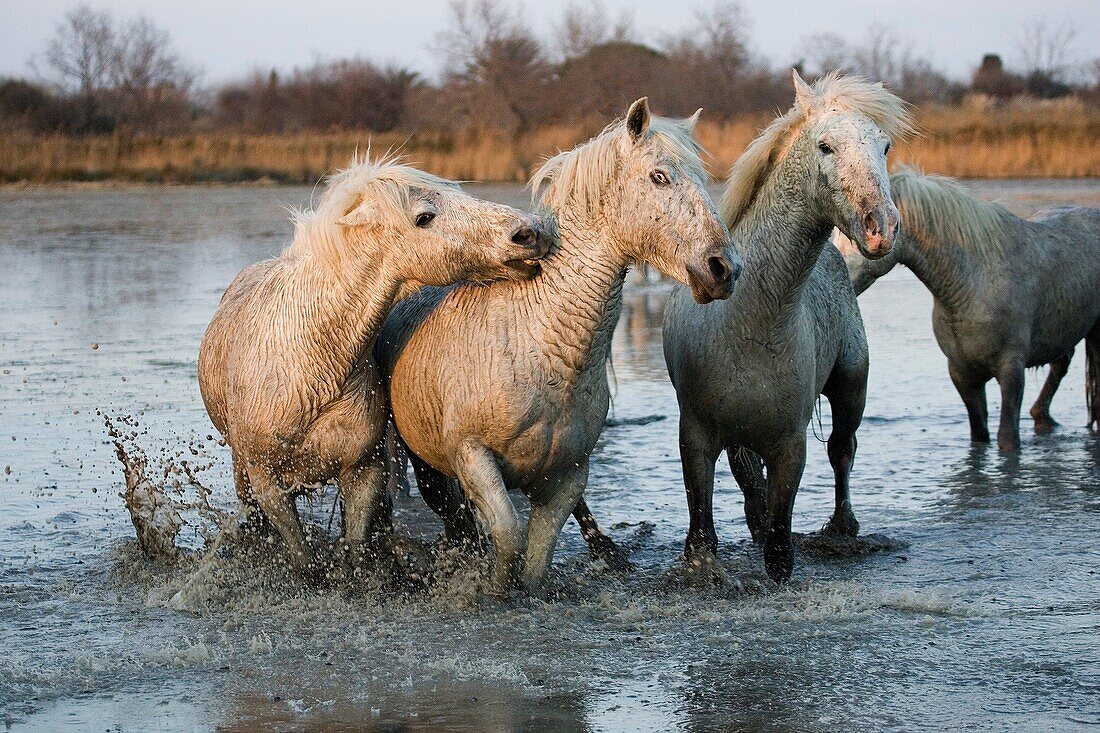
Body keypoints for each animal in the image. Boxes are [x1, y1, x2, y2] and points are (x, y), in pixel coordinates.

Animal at [195, 157, 547, 572]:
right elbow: (303, 561)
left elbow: (358, 547)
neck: (312, 364)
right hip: (244, 474)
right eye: (424, 217)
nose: (528, 233)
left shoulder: (365, 473)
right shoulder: (268, 484)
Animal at [660, 71, 910, 581]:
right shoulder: (697, 436)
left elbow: (779, 549)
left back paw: (843, 525)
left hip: (851, 385)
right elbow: (704, 528)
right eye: (825, 146)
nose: (881, 227)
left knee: (842, 449)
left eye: (885, 145)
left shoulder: (789, 445)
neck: (751, 322)